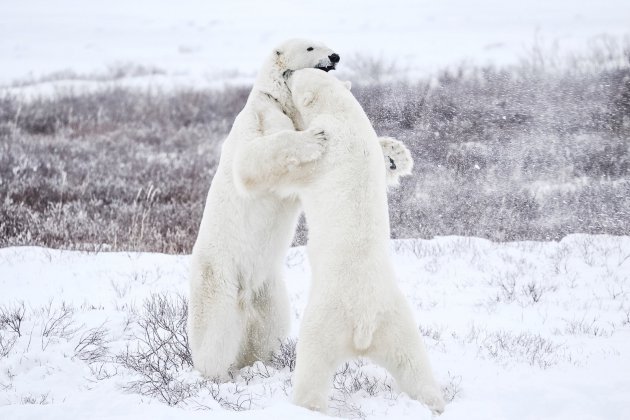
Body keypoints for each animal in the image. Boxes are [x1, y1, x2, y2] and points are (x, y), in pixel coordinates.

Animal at [188, 38, 414, 380]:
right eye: (310, 47)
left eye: (325, 43)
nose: (335, 55)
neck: (279, 99)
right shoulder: (261, 116)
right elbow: (251, 160)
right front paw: (313, 139)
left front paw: (395, 154)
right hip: (219, 274)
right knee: (215, 328)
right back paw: (214, 372)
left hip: (267, 287)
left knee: (269, 325)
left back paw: (259, 362)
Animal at [288, 68, 446, 414]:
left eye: (297, 78)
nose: (289, 71)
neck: (345, 113)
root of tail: (363, 325)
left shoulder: (325, 150)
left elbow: (297, 169)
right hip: (396, 321)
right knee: (413, 363)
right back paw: (435, 403)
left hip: (326, 318)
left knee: (312, 362)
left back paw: (305, 405)